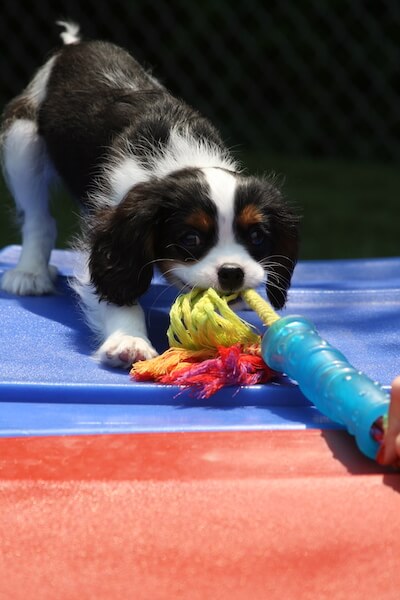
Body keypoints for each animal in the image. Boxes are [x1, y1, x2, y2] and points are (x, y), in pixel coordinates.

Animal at [0, 23, 300, 368]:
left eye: (256, 236)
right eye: (190, 239)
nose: (232, 273)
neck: (178, 158)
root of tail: (74, 45)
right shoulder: (111, 226)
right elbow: (115, 287)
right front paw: (129, 341)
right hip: (22, 139)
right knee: (38, 217)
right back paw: (30, 272)